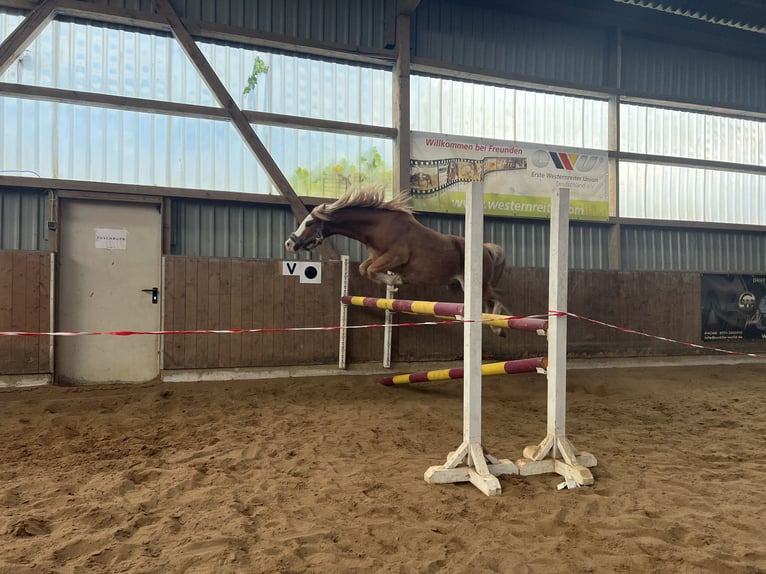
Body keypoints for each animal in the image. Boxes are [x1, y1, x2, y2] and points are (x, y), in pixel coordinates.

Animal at [284, 187, 510, 335]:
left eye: (309, 223)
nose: (289, 243)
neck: (379, 227)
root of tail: (486, 249)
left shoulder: (395, 256)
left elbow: (371, 271)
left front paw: (395, 283)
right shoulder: (377, 257)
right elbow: (365, 269)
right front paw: (393, 286)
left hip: (478, 285)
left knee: (498, 298)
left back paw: (497, 328)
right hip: (465, 286)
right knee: (490, 301)